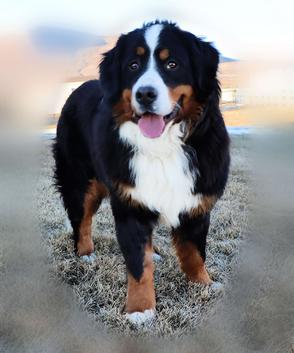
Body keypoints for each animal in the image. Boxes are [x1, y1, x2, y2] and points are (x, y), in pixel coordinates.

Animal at [54, 19, 231, 322]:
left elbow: (195, 253)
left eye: (172, 64)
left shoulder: (196, 203)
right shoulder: (130, 204)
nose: (145, 94)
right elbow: (138, 265)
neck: (162, 147)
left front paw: (204, 284)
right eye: (133, 65)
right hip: (80, 179)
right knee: (82, 220)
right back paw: (85, 252)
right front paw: (140, 310)